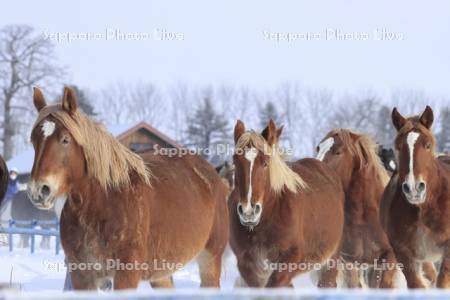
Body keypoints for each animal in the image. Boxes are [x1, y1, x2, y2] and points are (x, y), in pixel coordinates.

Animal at [27, 88, 229, 290]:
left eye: (65, 139)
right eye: (33, 140)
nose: (39, 190)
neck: (103, 202)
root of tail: (213, 174)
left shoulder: (127, 273)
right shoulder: (82, 274)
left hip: (210, 261)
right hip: (162, 274)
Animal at [229, 120, 344, 288]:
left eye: (265, 163)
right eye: (235, 162)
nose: (249, 211)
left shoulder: (291, 259)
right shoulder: (247, 264)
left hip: (329, 261)